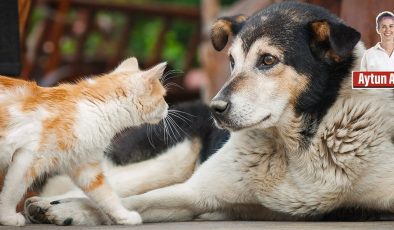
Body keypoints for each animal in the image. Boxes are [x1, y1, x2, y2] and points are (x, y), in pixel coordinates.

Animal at [0, 56, 168, 226]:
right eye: (163, 97)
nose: (168, 107)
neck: (95, 108)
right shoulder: (28, 157)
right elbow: (13, 190)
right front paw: (7, 216)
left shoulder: (85, 165)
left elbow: (106, 195)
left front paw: (124, 215)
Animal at [24, 1, 394, 225]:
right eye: (231, 62)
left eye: (268, 60)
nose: (216, 109)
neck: (296, 150)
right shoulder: (194, 192)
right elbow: (131, 201)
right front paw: (73, 210)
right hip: (171, 158)